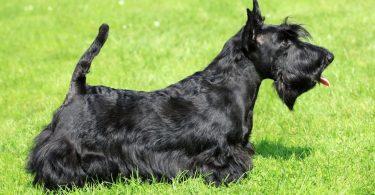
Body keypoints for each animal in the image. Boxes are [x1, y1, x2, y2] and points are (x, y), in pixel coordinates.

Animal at [28, 0, 334, 189]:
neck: (227, 87)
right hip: (67, 146)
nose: (328, 57)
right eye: (284, 41)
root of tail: (78, 89)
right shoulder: (220, 149)